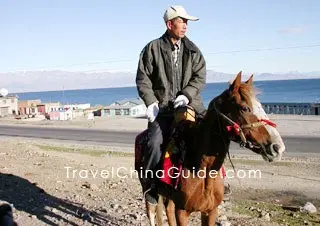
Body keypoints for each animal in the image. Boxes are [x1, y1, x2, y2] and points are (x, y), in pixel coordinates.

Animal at [134, 71, 284, 225]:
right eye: (245, 108)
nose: (277, 147)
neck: (203, 170)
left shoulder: (210, 211)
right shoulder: (182, 212)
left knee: (168, 209)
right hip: (148, 189)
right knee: (152, 212)